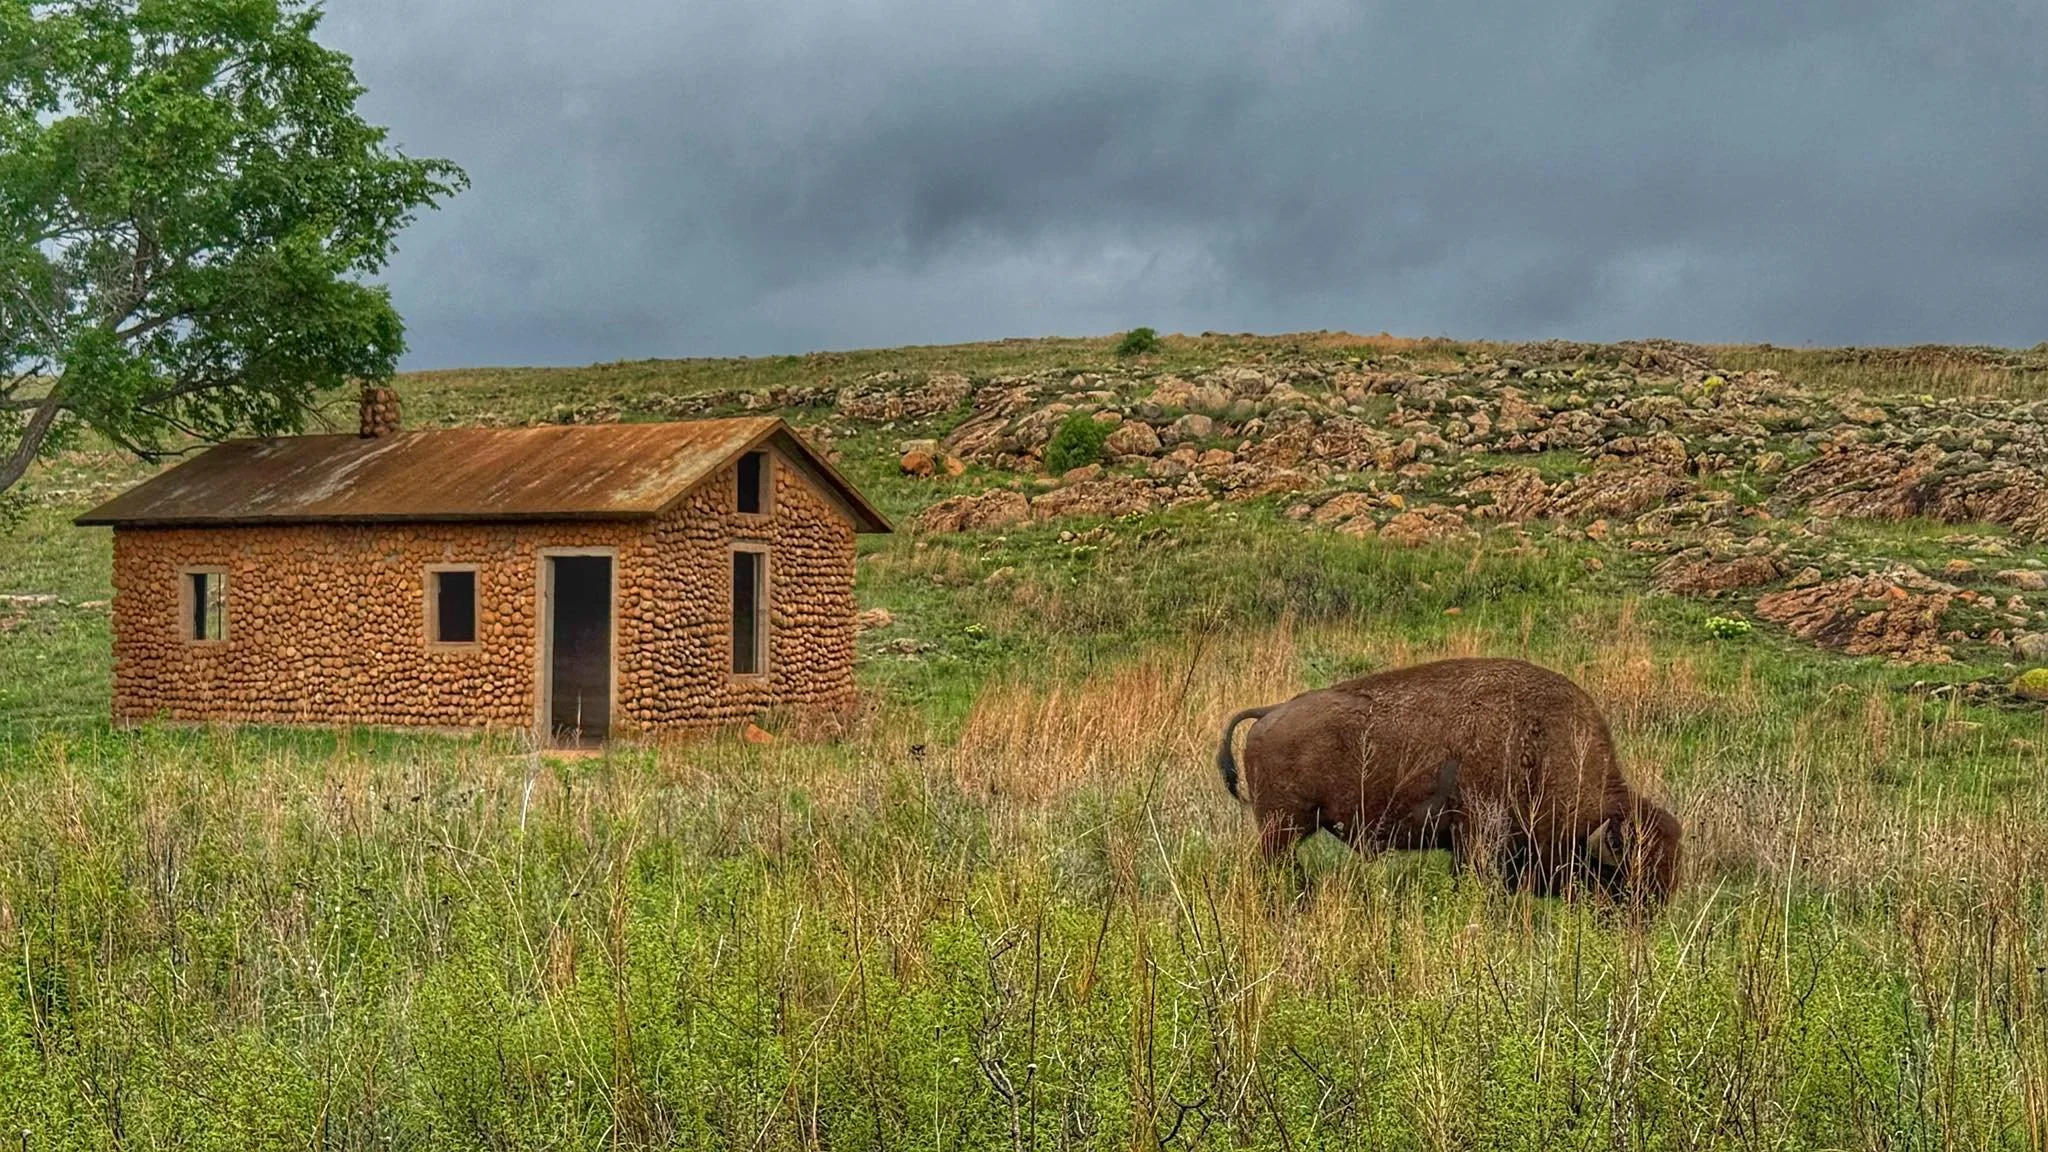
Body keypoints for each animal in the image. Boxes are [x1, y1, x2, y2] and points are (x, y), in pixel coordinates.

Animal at [1216, 657, 1681, 906]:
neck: (1545, 745)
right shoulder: (1477, 838)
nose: (1647, 919)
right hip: (1283, 825)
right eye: (1627, 875)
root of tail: (1271, 711)